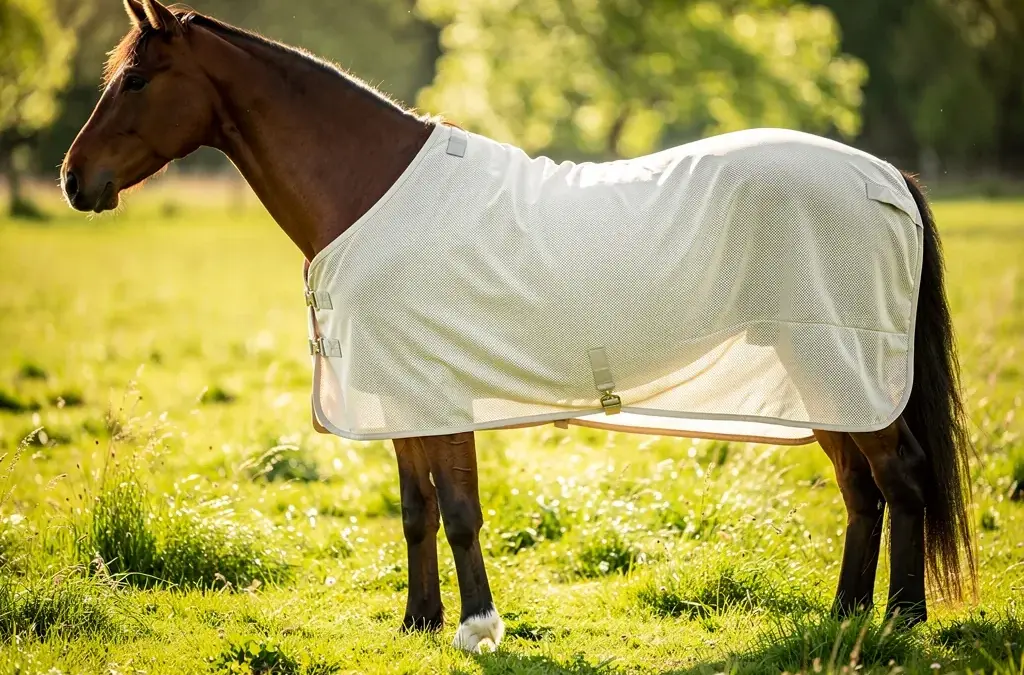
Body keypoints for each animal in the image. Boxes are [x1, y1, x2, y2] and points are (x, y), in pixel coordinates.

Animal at [62, 0, 976, 652]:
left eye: (136, 79)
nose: (76, 180)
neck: (372, 192)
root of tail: (884, 176)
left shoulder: (439, 392)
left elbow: (461, 510)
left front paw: (477, 627)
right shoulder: (403, 395)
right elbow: (418, 510)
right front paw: (419, 622)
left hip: (843, 362)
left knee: (900, 478)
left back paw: (901, 620)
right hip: (823, 373)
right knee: (862, 488)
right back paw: (845, 616)